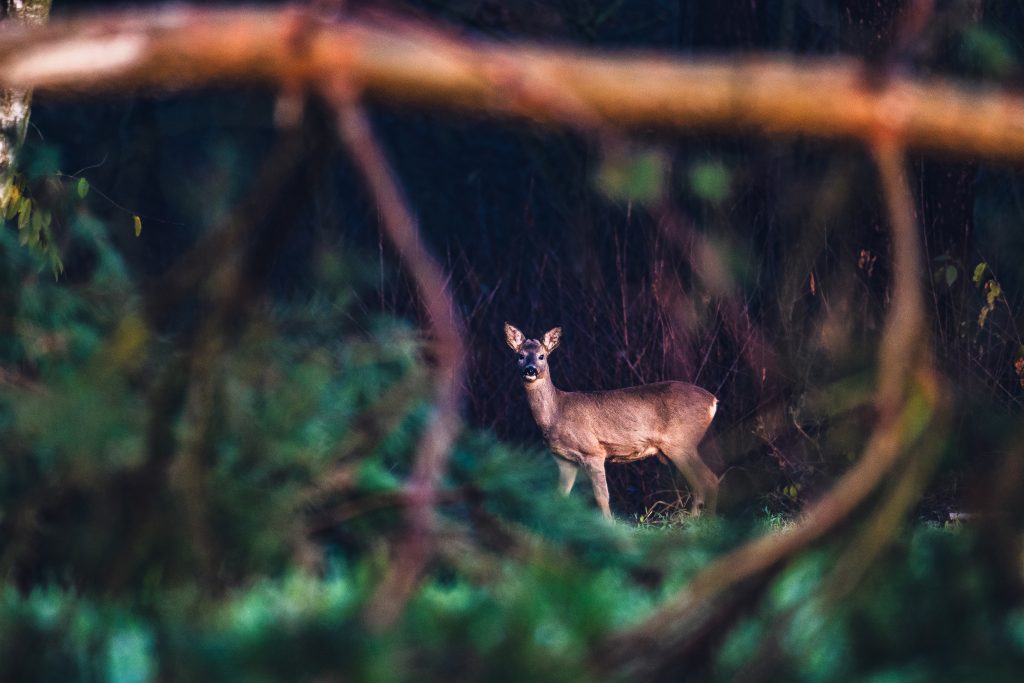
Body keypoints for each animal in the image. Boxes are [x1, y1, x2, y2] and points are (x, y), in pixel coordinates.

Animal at [504, 323, 719, 520]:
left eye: (542, 356)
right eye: (520, 355)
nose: (530, 370)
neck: (555, 413)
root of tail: (713, 400)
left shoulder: (593, 451)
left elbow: (602, 497)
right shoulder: (564, 460)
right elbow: (560, 496)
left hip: (680, 442)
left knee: (708, 480)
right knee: (701, 483)